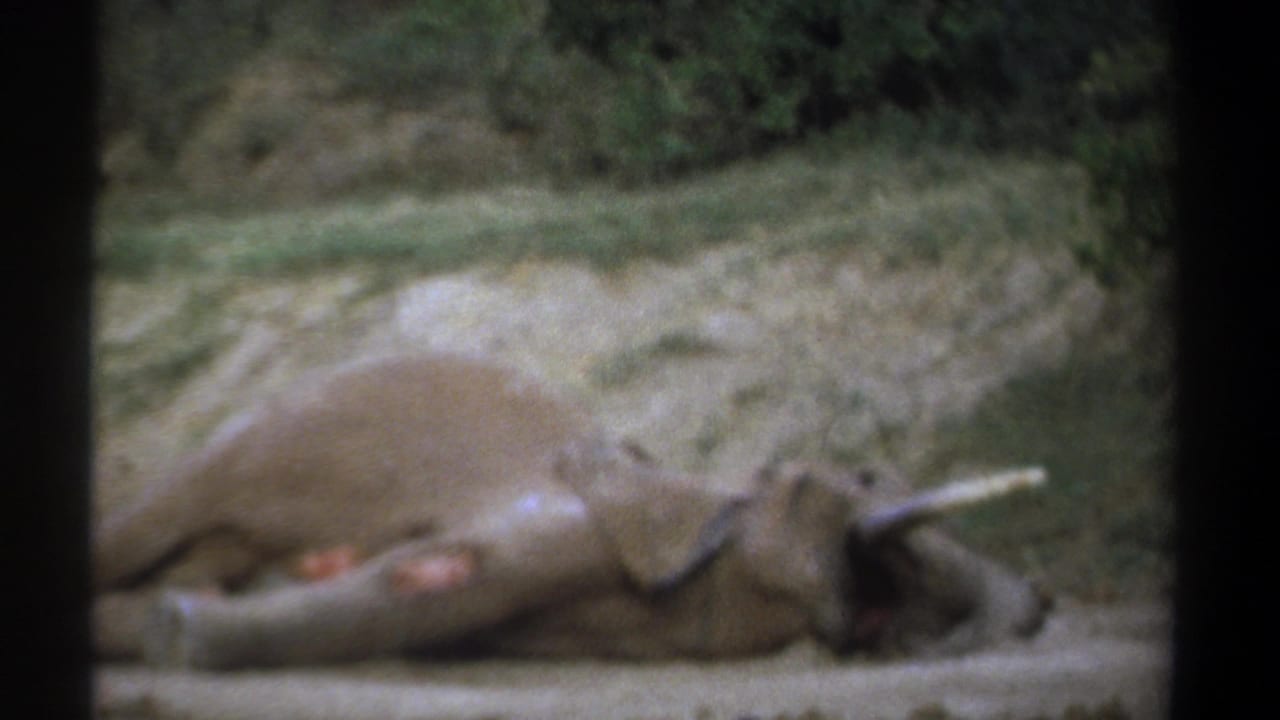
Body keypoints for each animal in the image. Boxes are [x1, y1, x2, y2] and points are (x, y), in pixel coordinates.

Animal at [93, 353, 1051, 669]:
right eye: (859, 476)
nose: (1044, 606)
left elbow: (427, 595)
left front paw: (172, 628)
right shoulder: (569, 519)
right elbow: (430, 574)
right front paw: (178, 636)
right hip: (272, 433)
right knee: (151, 520)